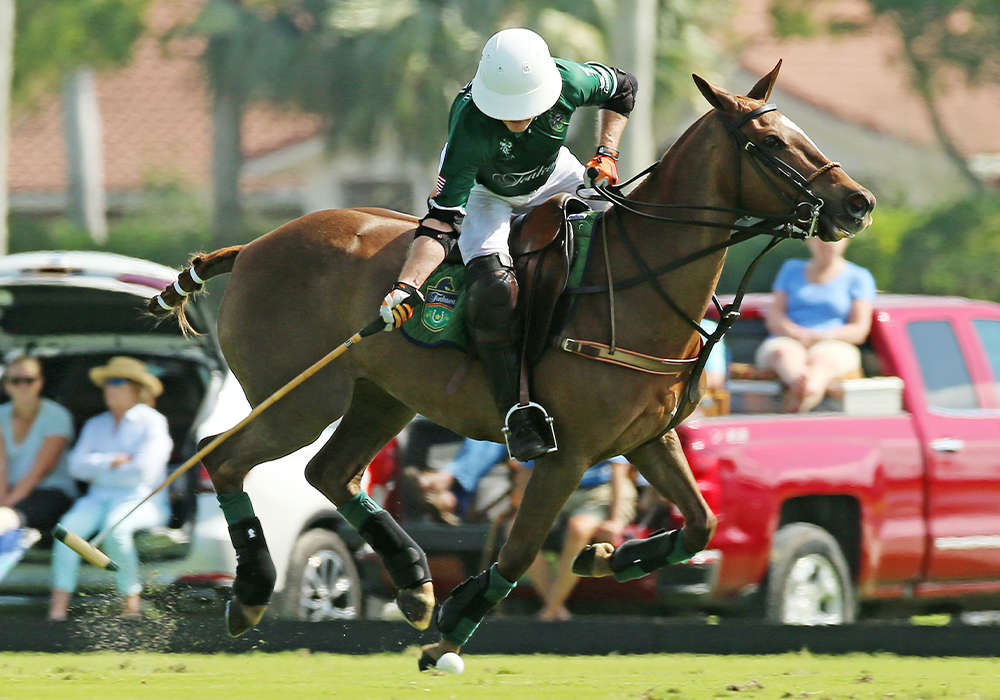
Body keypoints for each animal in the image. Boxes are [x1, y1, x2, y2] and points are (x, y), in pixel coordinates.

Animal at [150, 61, 876, 660]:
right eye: (771, 144)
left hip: (381, 398)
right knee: (222, 456)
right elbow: (524, 549)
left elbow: (701, 525)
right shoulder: (566, 453)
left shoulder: (647, 439)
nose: (858, 203)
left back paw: (413, 581)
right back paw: (253, 592)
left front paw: (602, 557)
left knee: (328, 472)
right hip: (303, 398)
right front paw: (453, 630)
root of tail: (253, 246)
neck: (640, 278)